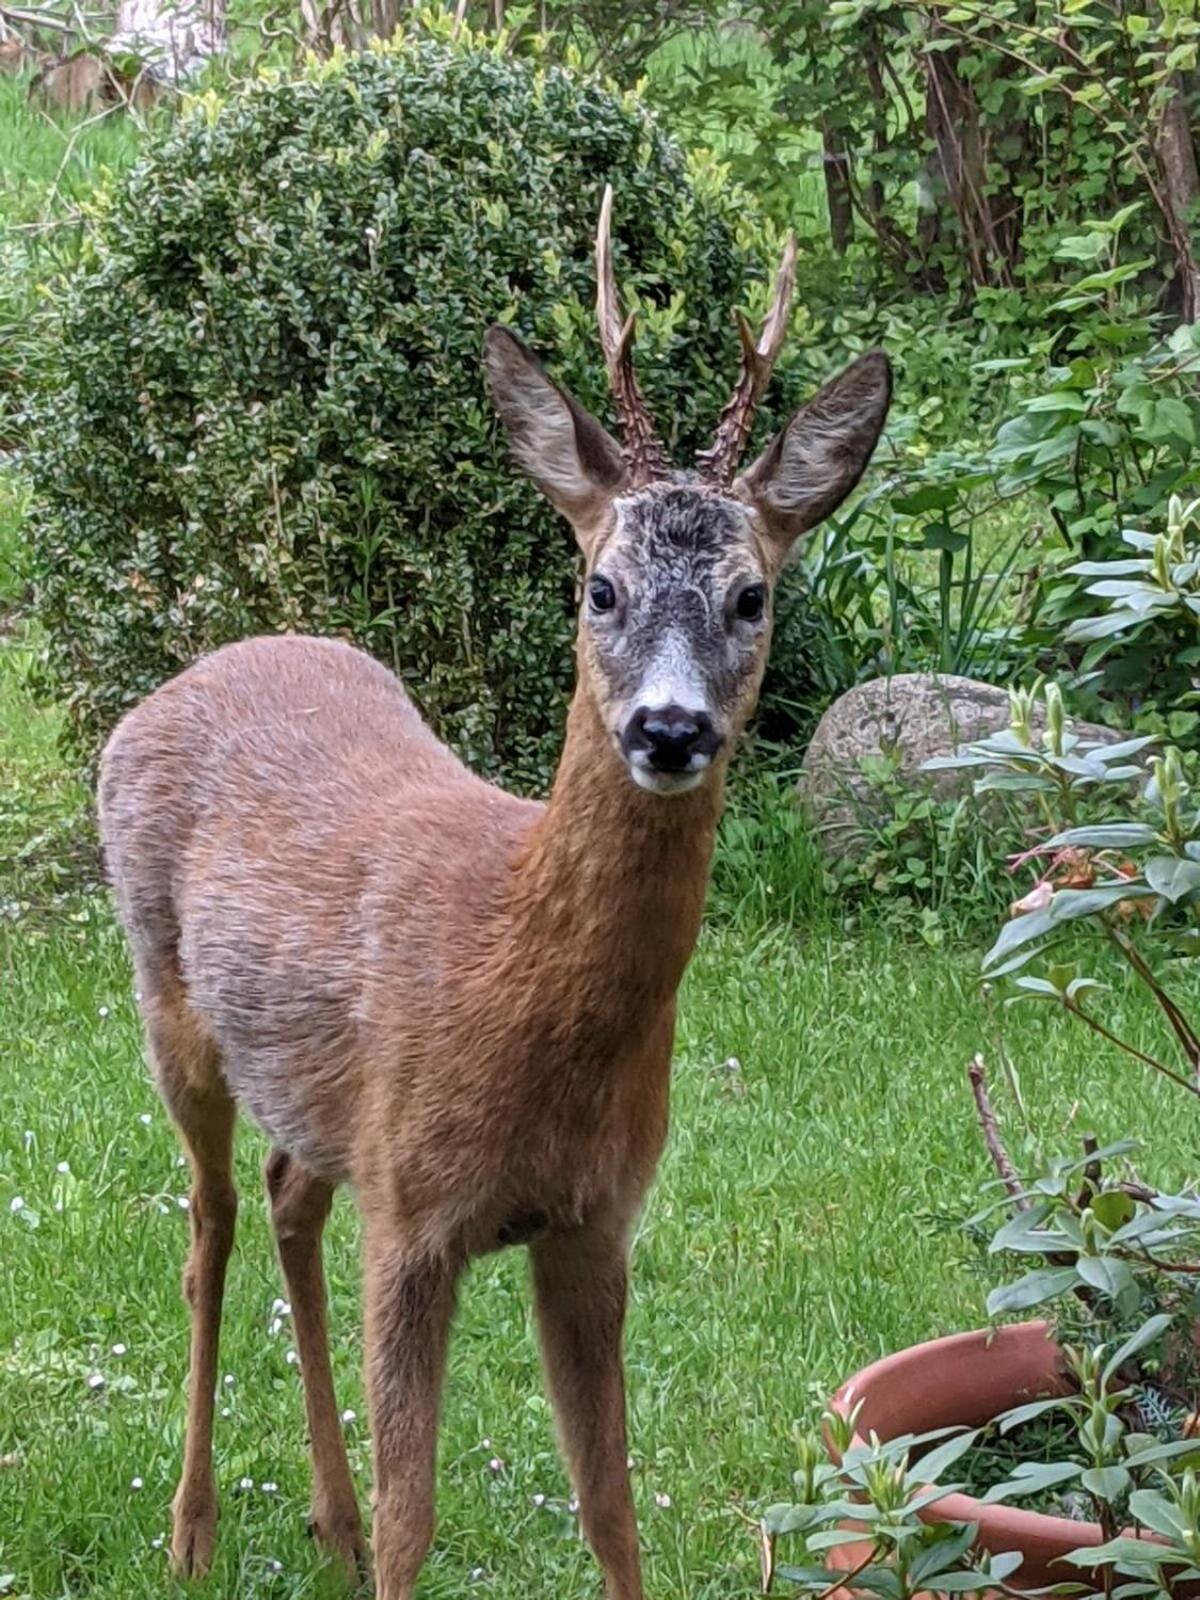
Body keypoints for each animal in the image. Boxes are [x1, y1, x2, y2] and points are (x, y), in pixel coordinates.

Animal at [98, 181, 896, 1593]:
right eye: (601, 585)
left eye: (753, 594)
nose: (671, 729)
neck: (510, 968)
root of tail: (178, 681)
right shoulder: (416, 1217)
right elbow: (420, 1522)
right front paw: (368, 1531)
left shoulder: (593, 1220)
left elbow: (612, 1506)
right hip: (167, 1009)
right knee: (207, 1230)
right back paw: (193, 1529)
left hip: (324, 1106)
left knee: (287, 1198)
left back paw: (327, 1512)